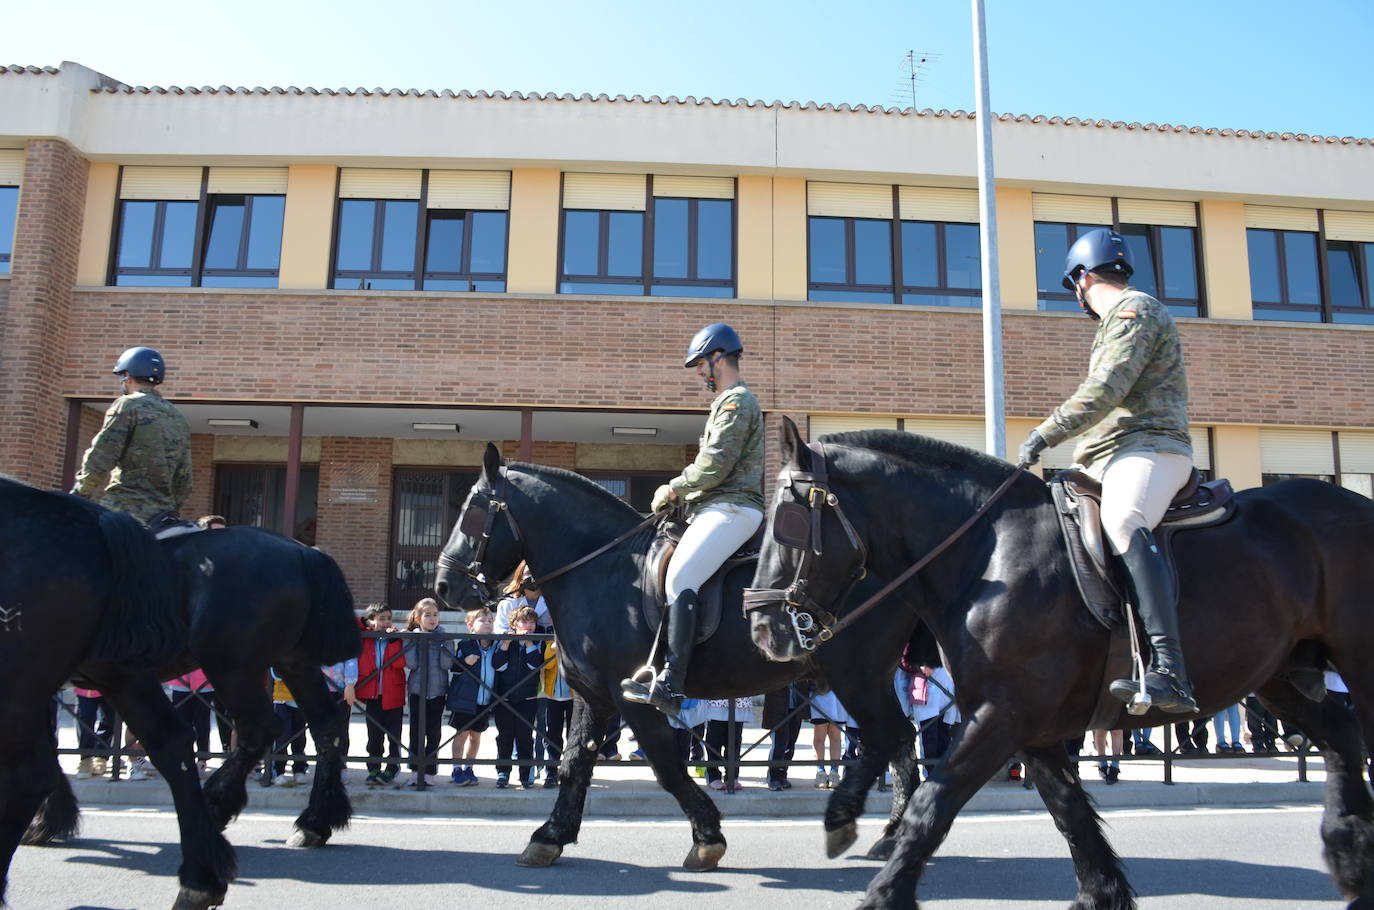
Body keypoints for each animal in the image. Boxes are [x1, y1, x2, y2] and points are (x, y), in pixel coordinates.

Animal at [30, 527, 362, 857]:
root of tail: (302, 552)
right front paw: (49, 816)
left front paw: (46, 819)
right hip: (292, 660)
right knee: (325, 723)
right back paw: (314, 822)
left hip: (232, 666)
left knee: (260, 730)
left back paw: (216, 805)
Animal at [428, 445, 923, 874]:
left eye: (473, 509)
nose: (445, 586)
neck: (602, 569)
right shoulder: (592, 695)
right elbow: (574, 762)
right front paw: (549, 837)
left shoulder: (631, 698)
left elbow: (666, 765)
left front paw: (708, 839)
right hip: (867, 678)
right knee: (897, 739)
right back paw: (892, 832)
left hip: (857, 676)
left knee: (894, 736)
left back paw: (888, 831)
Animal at [747, 420, 1374, 910]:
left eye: (787, 519)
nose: (763, 629)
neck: (987, 553)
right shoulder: (1033, 729)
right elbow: (1071, 814)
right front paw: (1102, 894)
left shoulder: (1001, 716)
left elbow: (933, 804)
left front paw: (884, 893)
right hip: (1279, 676)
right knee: (1342, 738)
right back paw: (1350, 854)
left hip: (1354, 661)